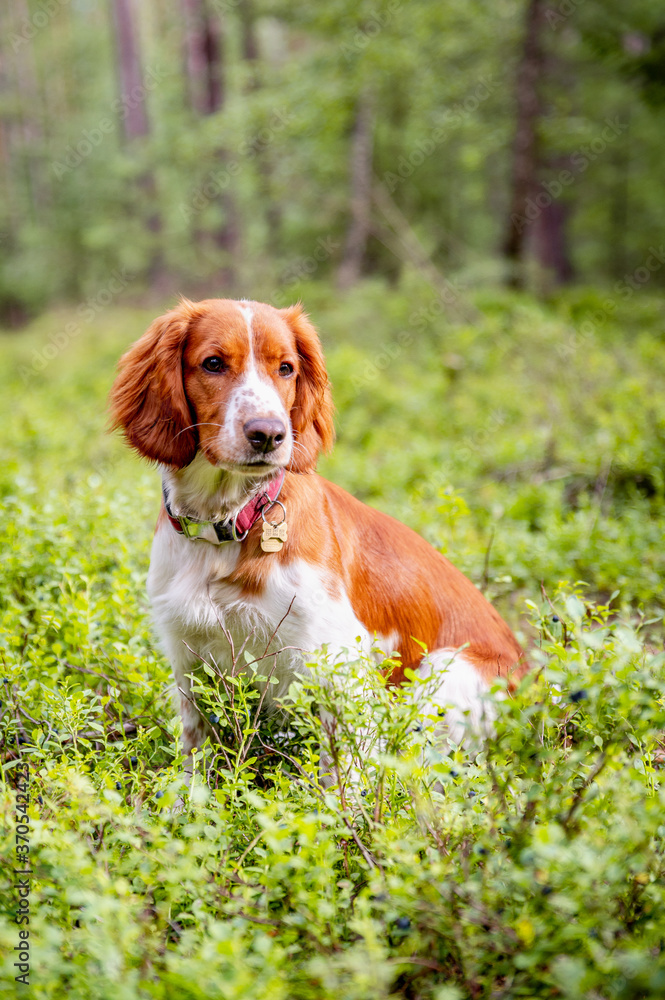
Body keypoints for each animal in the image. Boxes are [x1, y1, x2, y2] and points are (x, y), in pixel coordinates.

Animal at [110, 296, 524, 764]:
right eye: (213, 363)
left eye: (286, 368)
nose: (268, 434)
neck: (228, 524)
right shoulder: (188, 659)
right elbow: (196, 761)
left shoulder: (341, 666)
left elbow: (343, 775)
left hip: (446, 672)